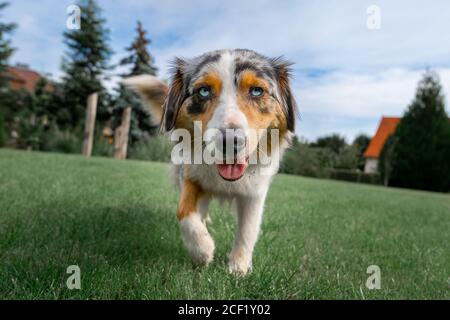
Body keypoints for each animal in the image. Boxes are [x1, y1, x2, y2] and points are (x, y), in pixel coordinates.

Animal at [125, 48, 298, 274]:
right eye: (204, 91)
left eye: (256, 91)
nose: (230, 141)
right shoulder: (191, 175)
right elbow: (183, 211)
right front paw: (202, 250)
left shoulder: (254, 192)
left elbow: (248, 229)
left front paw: (239, 267)